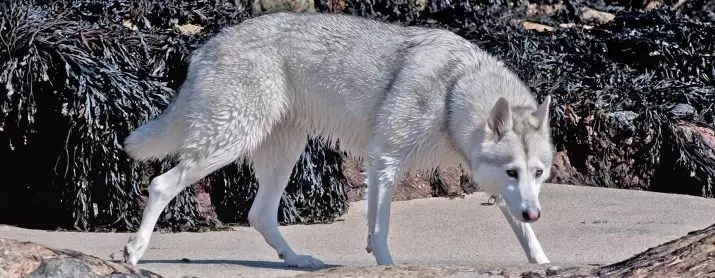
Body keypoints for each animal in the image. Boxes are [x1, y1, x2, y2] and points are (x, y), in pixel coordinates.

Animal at [121, 12, 552, 268]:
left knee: (259, 215)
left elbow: (530, 240)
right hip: (227, 145)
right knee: (160, 185)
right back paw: (134, 252)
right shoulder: (386, 159)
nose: (536, 213)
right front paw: (387, 267)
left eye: (539, 174)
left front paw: (545, 264)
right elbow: (380, 229)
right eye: (512, 171)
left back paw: (297, 260)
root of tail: (205, 47)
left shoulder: (491, 186)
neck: (454, 89)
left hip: (282, 156)